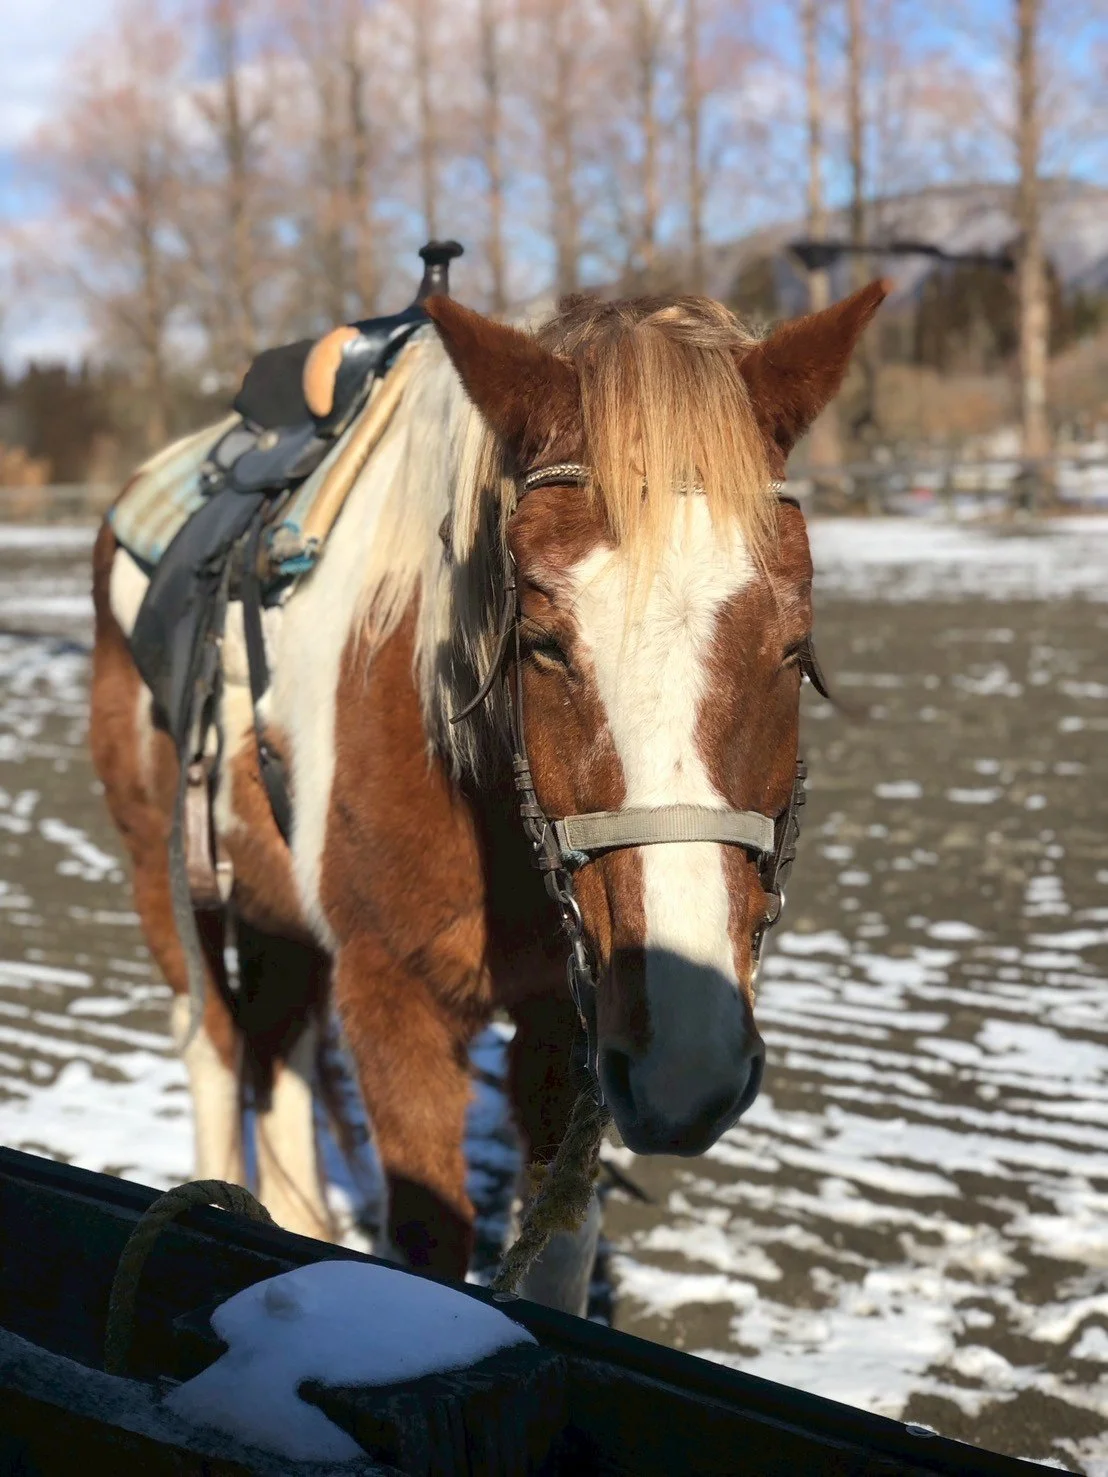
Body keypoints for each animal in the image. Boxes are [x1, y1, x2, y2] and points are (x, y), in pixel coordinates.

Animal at [89, 278, 886, 1313]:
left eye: (793, 646)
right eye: (540, 641)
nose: (691, 1059)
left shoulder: (565, 1022)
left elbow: (559, 1250)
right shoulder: (394, 1001)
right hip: (165, 876)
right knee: (216, 1051)